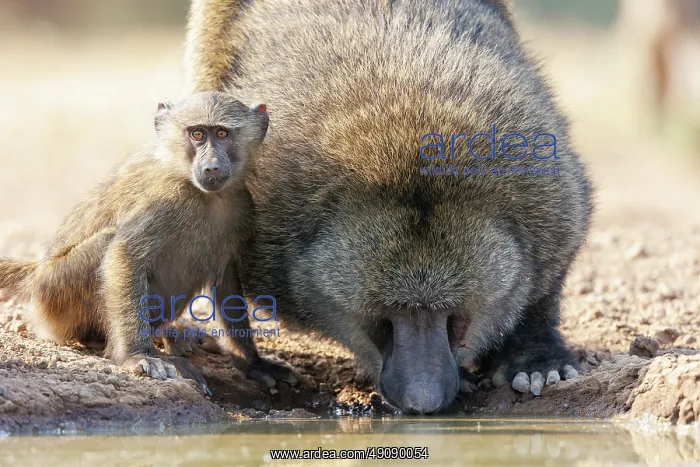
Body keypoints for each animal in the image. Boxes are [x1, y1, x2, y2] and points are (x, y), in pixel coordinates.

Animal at [0, 91, 299, 394]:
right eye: (198, 134)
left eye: (222, 133)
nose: (212, 166)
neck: (202, 191)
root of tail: (36, 273)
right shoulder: (166, 199)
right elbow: (124, 254)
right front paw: (135, 356)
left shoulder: (241, 204)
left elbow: (227, 280)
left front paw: (251, 362)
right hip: (52, 293)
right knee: (107, 244)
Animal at [184, 0, 591, 413]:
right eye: (390, 314)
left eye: (448, 314)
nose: (423, 400)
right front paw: (249, 361)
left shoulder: (548, 201)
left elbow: (546, 275)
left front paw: (535, 357)